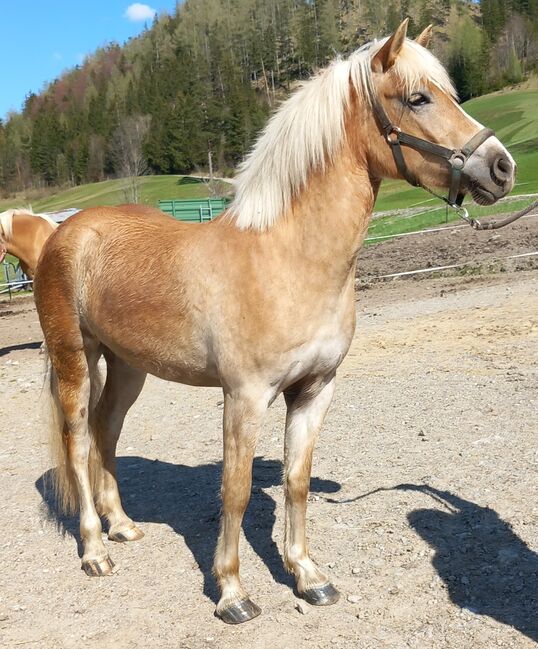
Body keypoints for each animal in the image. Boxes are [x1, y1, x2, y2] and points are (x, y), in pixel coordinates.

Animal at [34, 17, 516, 620]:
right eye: (418, 98)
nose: (502, 167)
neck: (287, 258)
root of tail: (67, 231)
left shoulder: (314, 389)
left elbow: (296, 481)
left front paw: (308, 575)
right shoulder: (244, 396)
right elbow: (236, 490)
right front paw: (232, 592)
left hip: (128, 366)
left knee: (107, 430)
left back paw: (121, 525)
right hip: (74, 358)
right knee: (78, 441)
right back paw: (97, 550)